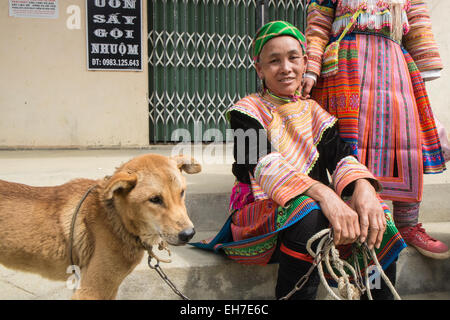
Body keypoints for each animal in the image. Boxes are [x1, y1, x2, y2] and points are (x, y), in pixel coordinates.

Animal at [0, 154, 200, 298]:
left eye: (182, 193)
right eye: (155, 199)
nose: (189, 234)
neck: (116, 220)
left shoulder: (107, 288)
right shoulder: (91, 290)